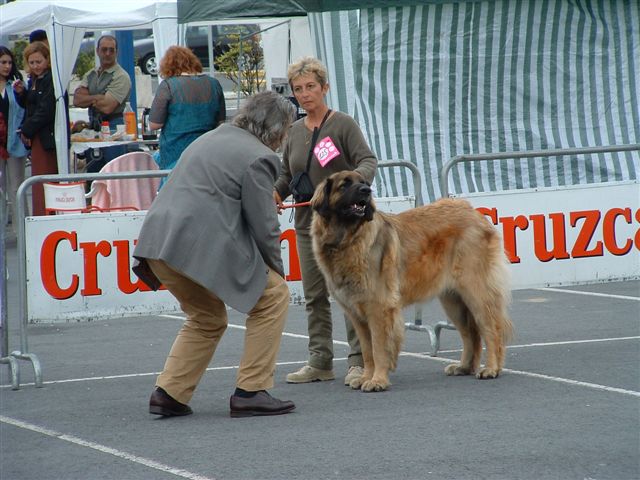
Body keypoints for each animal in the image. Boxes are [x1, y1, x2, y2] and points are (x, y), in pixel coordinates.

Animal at [310, 171, 516, 392]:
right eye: (345, 185)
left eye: (363, 183)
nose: (367, 191)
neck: (347, 239)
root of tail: (475, 213)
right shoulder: (357, 315)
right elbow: (367, 351)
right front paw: (365, 377)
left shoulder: (379, 308)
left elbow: (379, 349)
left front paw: (377, 380)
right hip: (453, 301)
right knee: (471, 334)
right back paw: (464, 367)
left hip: (476, 292)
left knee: (491, 329)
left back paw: (491, 369)